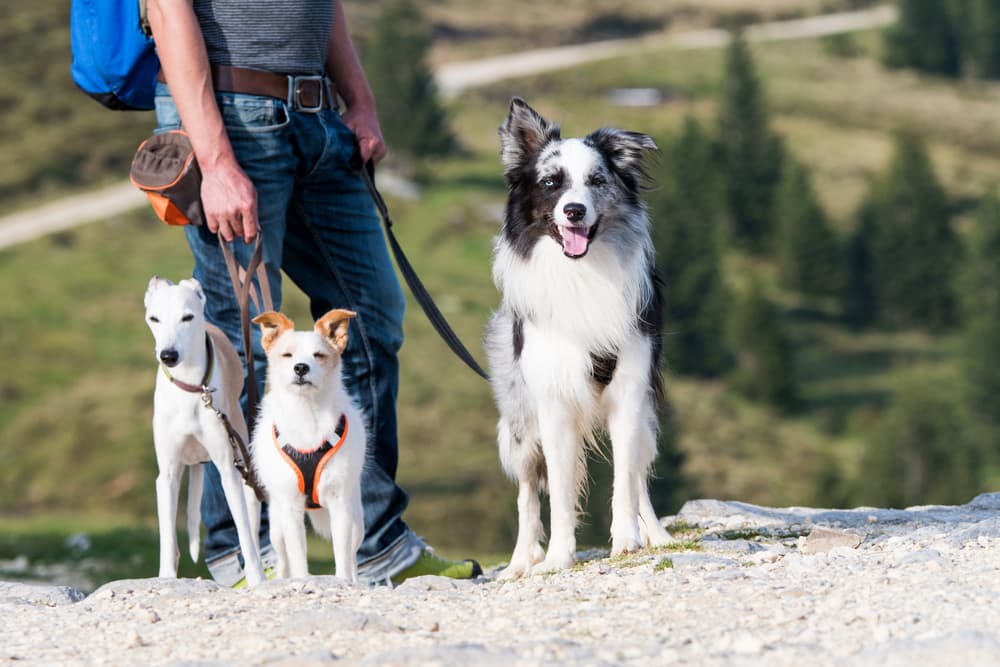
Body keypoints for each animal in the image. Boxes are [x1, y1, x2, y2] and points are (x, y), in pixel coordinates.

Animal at [144, 276, 266, 584]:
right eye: (154, 319)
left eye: (187, 317)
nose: (168, 355)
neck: (191, 388)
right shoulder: (167, 474)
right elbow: (168, 541)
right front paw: (165, 579)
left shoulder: (229, 469)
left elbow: (244, 534)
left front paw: (257, 579)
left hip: (243, 459)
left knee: (252, 522)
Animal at [250, 310, 368, 580]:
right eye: (287, 355)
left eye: (319, 355)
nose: (301, 367)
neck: (307, 413)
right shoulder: (291, 508)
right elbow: (297, 557)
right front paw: (301, 580)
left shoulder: (340, 506)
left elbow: (342, 556)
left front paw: (344, 581)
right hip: (277, 525)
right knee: (283, 558)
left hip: (357, 518)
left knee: (353, 555)